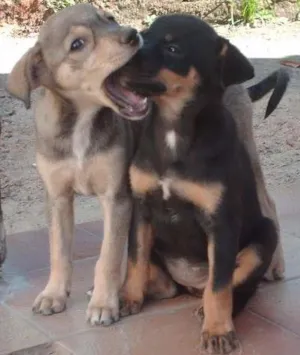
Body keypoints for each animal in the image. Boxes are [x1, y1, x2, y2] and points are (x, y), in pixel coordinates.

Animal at [7, 4, 151, 328]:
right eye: (77, 45)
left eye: (110, 20)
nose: (133, 34)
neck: (81, 124)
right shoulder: (57, 197)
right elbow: (59, 252)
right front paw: (54, 294)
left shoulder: (116, 196)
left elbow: (108, 256)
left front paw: (103, 303)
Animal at [118, 13, 278, 354]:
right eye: (145, 33)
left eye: (173, 49)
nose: (123, 55)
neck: (173, 129)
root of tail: (190, 284)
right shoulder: (142, 209)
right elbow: (135, 259)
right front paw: (127, 298)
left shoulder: (221, 223)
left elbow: (220, 285)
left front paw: (217, 331)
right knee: (163, 281)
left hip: (264, 236)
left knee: (235, 285)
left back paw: (213, 311)